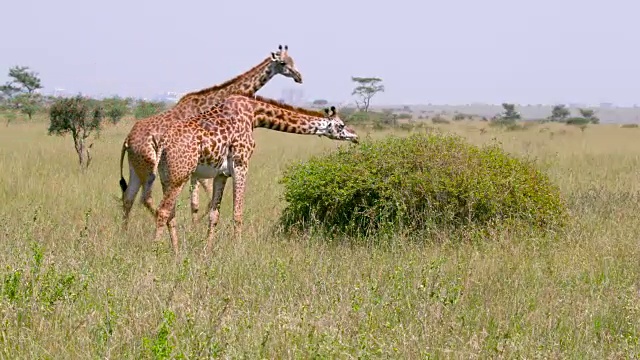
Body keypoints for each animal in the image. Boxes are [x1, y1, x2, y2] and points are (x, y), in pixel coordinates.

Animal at [118, 45, 302, 228]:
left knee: (128, 198)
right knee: (145, 198)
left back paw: (125, 232)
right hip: (149, 167)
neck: (211, 102)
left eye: (294, 60)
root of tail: (127, 140)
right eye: (283, 63)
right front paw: (196, 226)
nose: (299, 77)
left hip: (136, 168)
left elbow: (196, 203)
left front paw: (195, 226)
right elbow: (201, 200)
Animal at [152, 94, 358, 255]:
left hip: (167, 176)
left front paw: (207, 251)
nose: (355, 136)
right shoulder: (241, 164)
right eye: (341, 125)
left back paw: (176, 252)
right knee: (163, 211)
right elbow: (238, 213)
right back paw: (155, 252)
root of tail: (163, 143)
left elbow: (214, 214)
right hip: (180, 175)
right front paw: (238, 251)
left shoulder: (221, 174)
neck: (254, 114)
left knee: (170, 213)